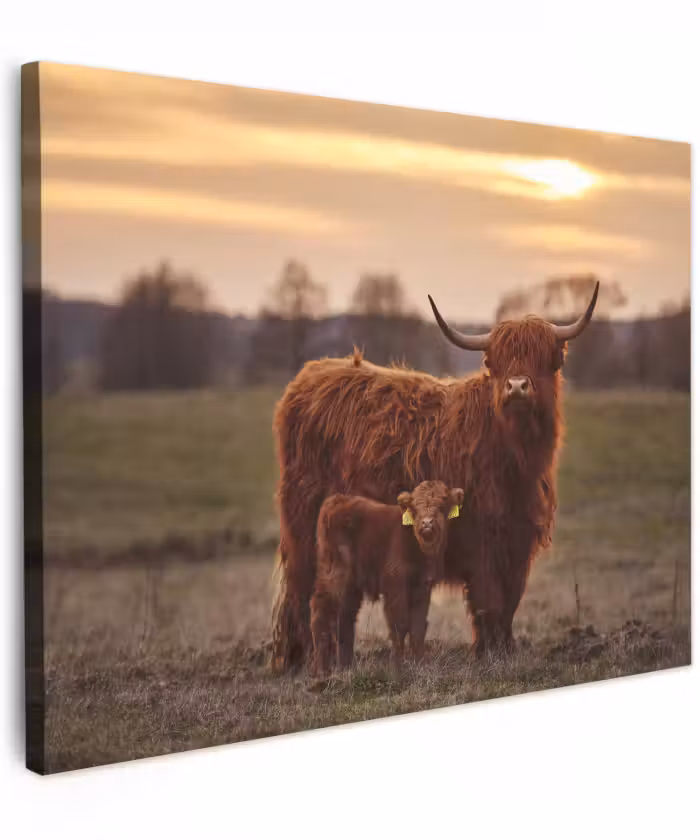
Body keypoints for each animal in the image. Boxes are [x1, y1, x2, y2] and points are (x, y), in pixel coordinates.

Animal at [311, 481, 465, 675]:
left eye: (443, 503)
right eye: (415, 506)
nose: (427, 523)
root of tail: (337, 500)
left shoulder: (422, 588)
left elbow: (418, 627)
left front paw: (421, 664)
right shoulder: (395, 586)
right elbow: (399, 624)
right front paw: (397, 667)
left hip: (351, 586)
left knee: (345, 618)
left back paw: (347, 667)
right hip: (335, 576)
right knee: (321, 611)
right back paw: (321, 671)